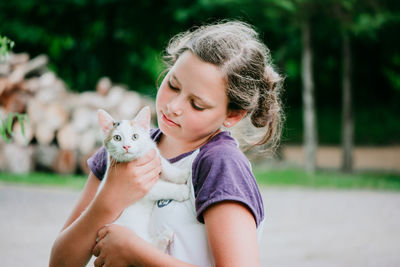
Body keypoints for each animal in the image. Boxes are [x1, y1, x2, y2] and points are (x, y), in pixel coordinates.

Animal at [97, 106, 191, 251]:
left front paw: (181, 175)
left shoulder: (152, 153)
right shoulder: (142, 188)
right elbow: (161, 187)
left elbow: (164, 165)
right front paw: (180, 190)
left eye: (135, 136)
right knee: (148, 246)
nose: (126, 146)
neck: (136, 160)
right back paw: (162, 239)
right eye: (117, 138)